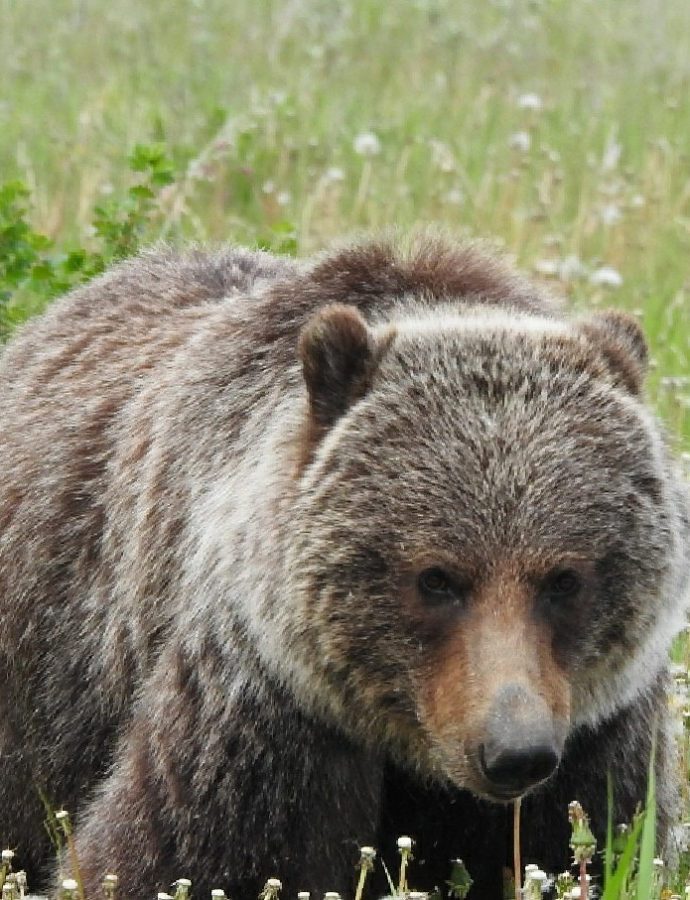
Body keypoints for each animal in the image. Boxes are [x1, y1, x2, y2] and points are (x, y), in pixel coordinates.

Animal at [0, 234, 684, 900]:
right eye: (437, 578)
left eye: (564, 580)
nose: (515, 751)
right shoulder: (267, 707)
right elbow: (178, 858)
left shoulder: (598, 731)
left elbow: (586, 845)